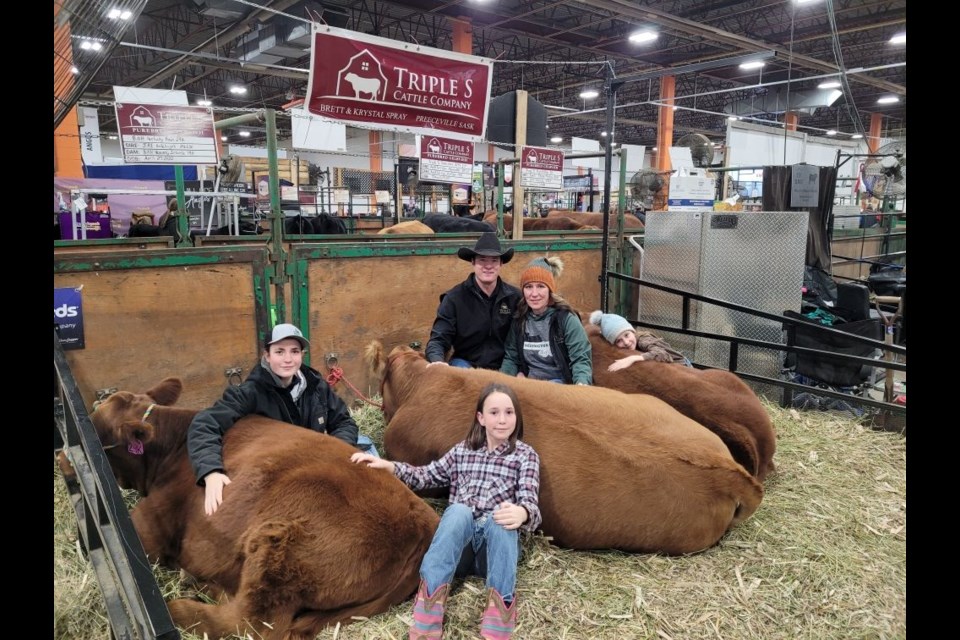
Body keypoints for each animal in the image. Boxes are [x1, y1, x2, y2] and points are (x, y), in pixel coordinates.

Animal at [62, 378, 444, 636]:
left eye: (99, 432)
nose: (63, 458)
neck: (173, 447)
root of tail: (425, 523)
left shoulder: (148, 526)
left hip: (279, 544)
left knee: (250, 622)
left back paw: (180, 605)